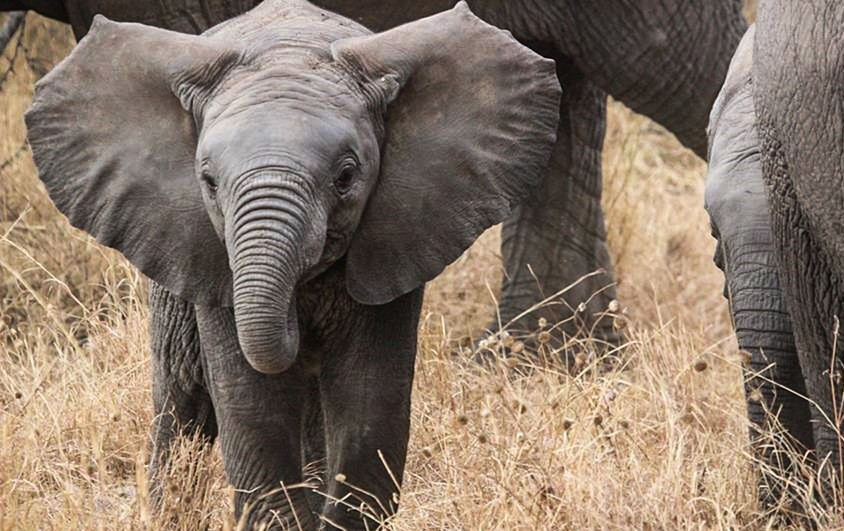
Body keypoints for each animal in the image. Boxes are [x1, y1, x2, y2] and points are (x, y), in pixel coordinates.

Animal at [24, 0, 560, 528]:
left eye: (346, 176)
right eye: (209, 182)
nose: (296, 324)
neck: (290, 50)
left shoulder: (398, 237)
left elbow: (369, 402)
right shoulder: (210, 261)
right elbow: (252, 405)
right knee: (182, 404)